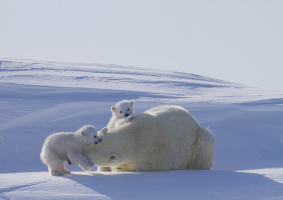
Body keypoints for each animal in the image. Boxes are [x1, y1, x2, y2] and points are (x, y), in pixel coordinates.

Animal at [83, 104, 216, 172]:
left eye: (90, 159)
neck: (137, 134)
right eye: (93, 141)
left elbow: (150, 165)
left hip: (200, 142)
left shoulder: (160, 153)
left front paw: (121, 167)